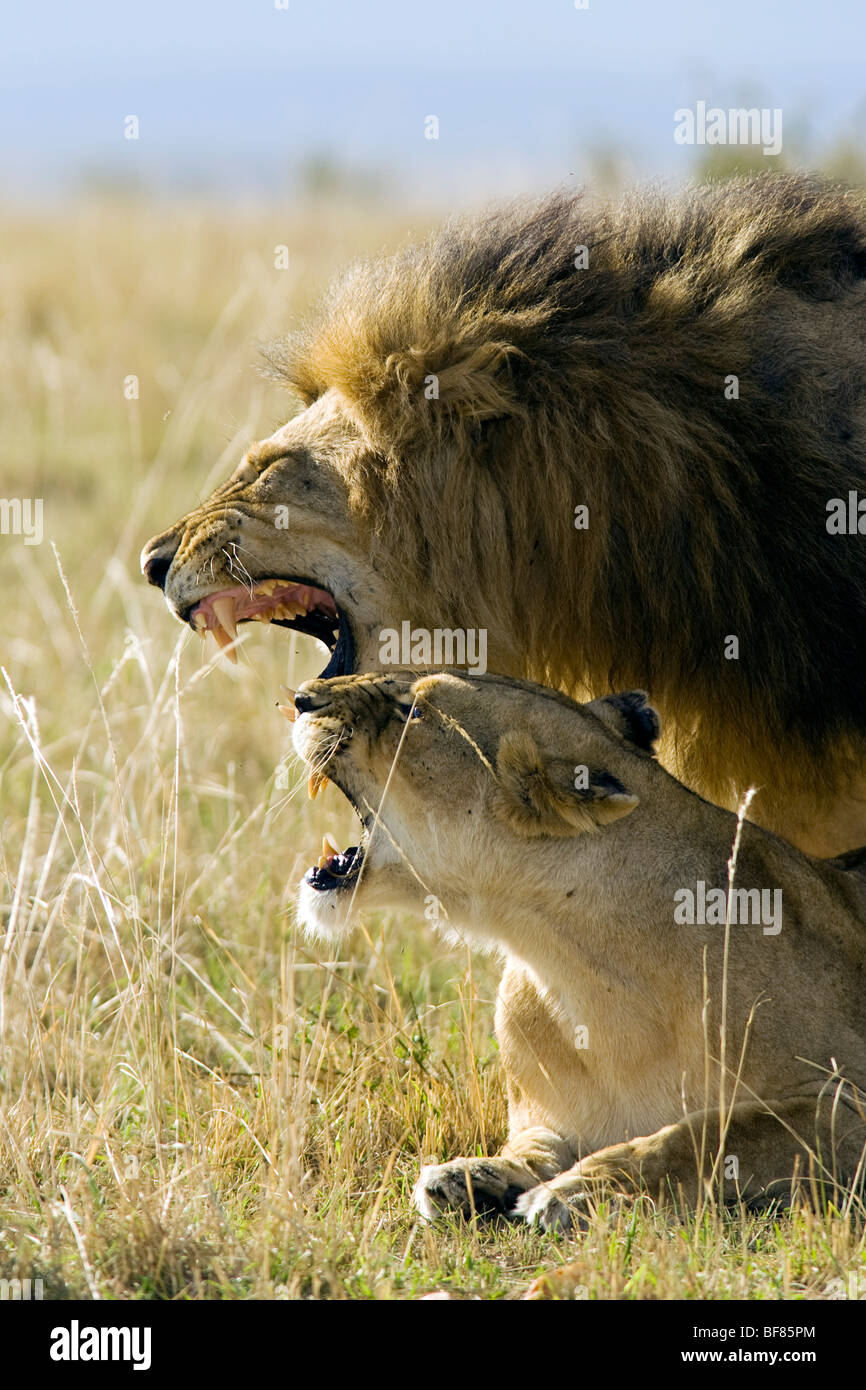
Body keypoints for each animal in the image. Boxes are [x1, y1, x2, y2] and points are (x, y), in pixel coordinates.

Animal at [289, 669, 866, 1231]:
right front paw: (471, 1175)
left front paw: (577, 1191)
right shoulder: (548, 1116)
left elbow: (705, 1135)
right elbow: (533, 1145)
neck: (569, 964)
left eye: (411, 710)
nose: (300, 698)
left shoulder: (848, 1103)